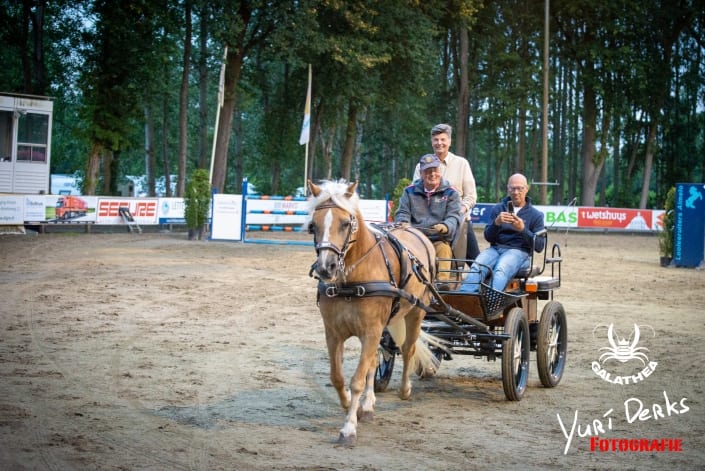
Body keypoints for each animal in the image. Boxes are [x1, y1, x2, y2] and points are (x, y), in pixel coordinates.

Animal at [306, 179, 440, 444]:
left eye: (345, 223)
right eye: (312, 225)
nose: (326, 268)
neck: (351, 281)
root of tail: (418, 232)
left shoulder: (371, 330)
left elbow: (357, 379)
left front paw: (348, 427)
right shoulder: (334, 333)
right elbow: (338, 377)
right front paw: (352, 404)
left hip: (415, 312)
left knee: (408, 349)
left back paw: (405, 389)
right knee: (372, 363)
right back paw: (367, 406)